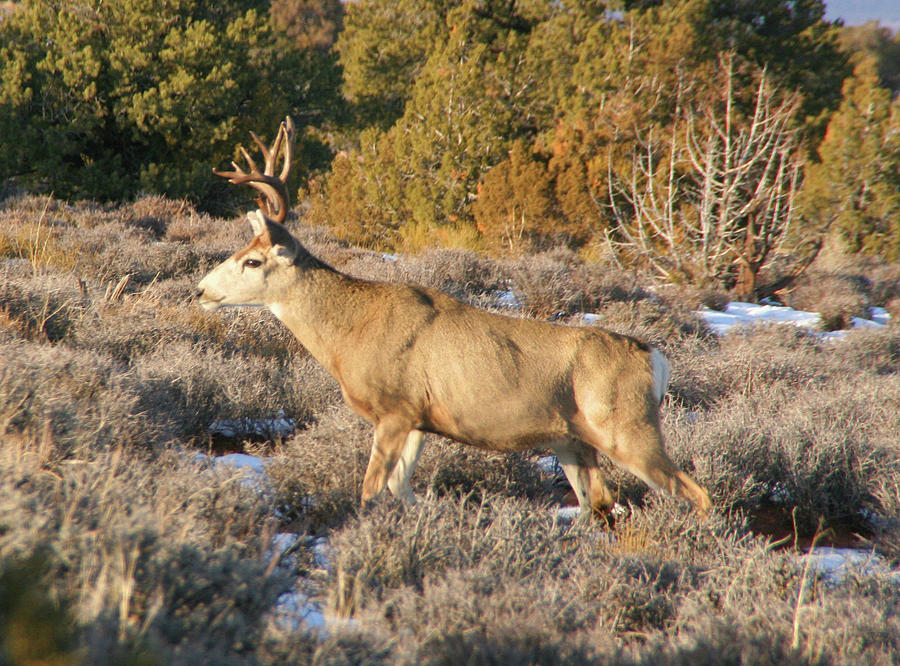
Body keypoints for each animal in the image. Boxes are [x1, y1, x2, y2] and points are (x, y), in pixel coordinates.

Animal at [195, 116, 712, 516]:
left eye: (252, 261)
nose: (200, 290)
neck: (349, 334)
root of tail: (656, 359)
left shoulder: (394, 407)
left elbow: (369, 490)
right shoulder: (418, 417)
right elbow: (400, 489)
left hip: (628, 427)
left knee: (695, 494)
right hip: (571, 440)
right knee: (599, 505)